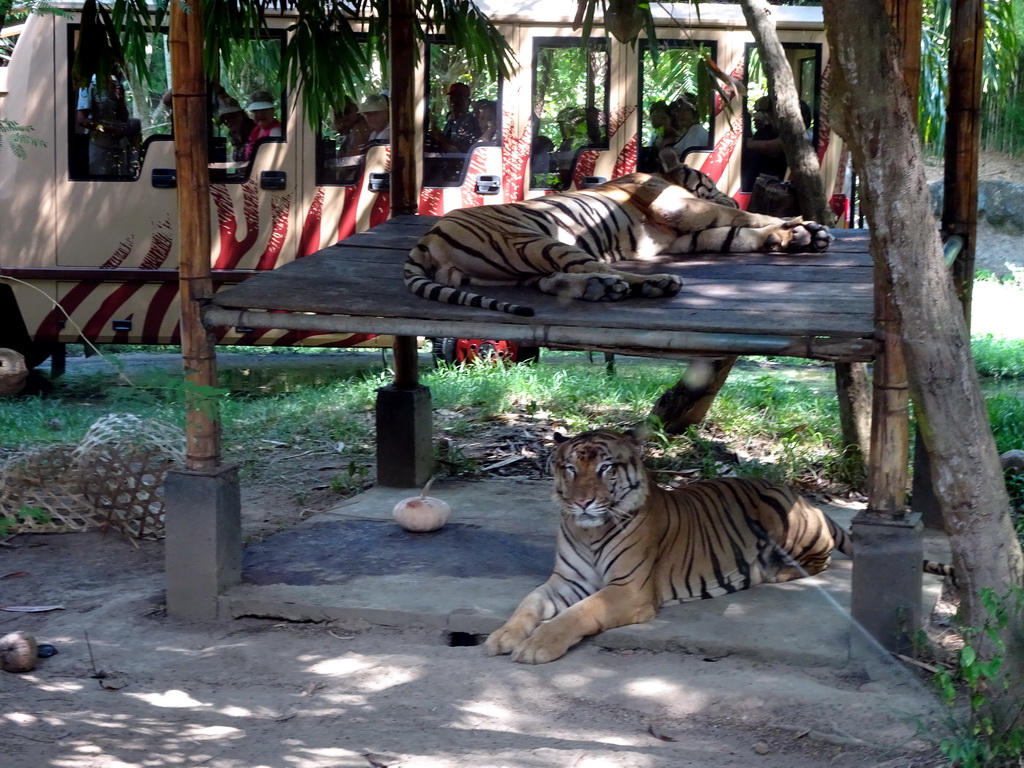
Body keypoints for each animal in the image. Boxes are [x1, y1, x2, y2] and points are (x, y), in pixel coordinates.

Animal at [403, 148, 835, 317]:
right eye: (709, 184)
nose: (728, 195)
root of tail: (426, 238)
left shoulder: (685, 236)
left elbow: (736, 235)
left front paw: (800, 237)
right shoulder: (681, 207)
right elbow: (745, 217)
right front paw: (801, 226)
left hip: (511, 267)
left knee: (551, 282)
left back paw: (604, 289)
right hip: (531, 240)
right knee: (594, 267)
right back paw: (653, 283)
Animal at [483, 430, 954, 663]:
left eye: (605, 469)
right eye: (568, 468)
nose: (581, 502)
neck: (589, 530)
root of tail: (802, 497)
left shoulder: (627, 590)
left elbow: (577, 615)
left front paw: (537, 646)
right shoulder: (564, 581)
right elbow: (528, 605)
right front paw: (502, 637)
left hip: (791, 529)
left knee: (815, 563)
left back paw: (772, 572)